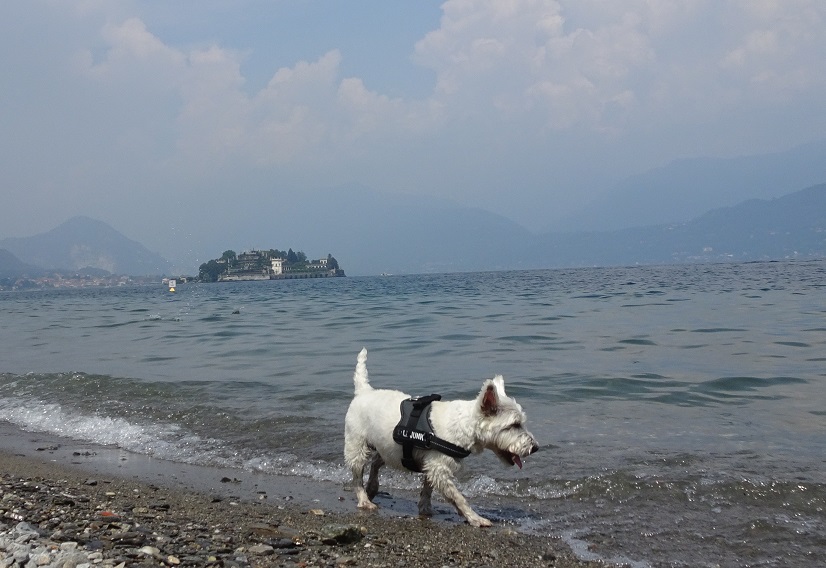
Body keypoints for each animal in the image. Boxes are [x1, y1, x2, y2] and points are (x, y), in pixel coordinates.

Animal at [340, 346, 536, 528]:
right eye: (514, 425)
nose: (535, 447)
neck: (463, 425)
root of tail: (364, 391)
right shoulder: (439, 467)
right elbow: (457, 497)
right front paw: (475, 518)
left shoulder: (431, 464)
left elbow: (428, 489)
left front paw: (425, 508)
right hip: (357, 446)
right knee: (357, 475)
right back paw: (364, 500)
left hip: (390, 448)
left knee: (376, 462)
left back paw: (372, 487)